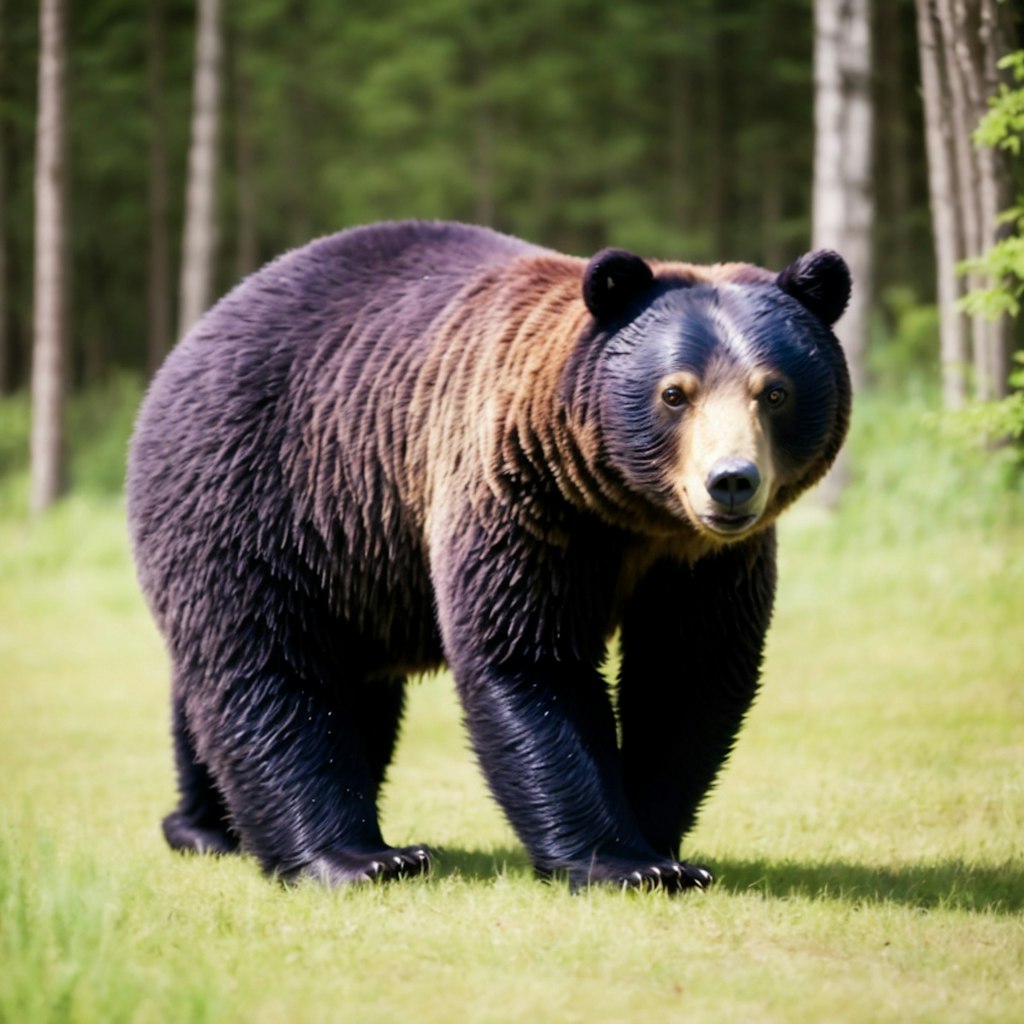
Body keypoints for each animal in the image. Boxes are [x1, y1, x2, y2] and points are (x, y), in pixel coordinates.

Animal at [125, 220, 847, 892]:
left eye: (774, 391)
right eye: (676, 392)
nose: (730, 481)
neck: (630, 514)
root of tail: (196, 334)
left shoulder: (706, 562)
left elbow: (688, 671)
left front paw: (657, 841)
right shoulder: (525, 499)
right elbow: (530, 659)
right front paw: (623, 861)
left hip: (354, 559)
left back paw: (214, 825)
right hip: (262, 490)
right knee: (267, 665)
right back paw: (355, 855)